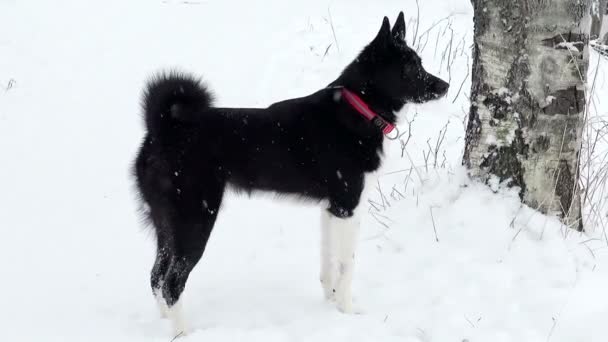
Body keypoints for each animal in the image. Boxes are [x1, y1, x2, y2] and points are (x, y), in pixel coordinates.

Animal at [133, 12, 446, 336]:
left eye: (420, 63)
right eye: (410, 68)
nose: (445, 86)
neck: (358, 110)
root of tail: (163, 129)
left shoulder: (331, 209)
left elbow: (328, 263)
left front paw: (330, 303)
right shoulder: (348, 208)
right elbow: (347, 265)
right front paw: (347, 312)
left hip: (165, 222)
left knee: (156, 276)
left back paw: (165, 322)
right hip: (195, 219)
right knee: (171, 282)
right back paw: (183, 333)